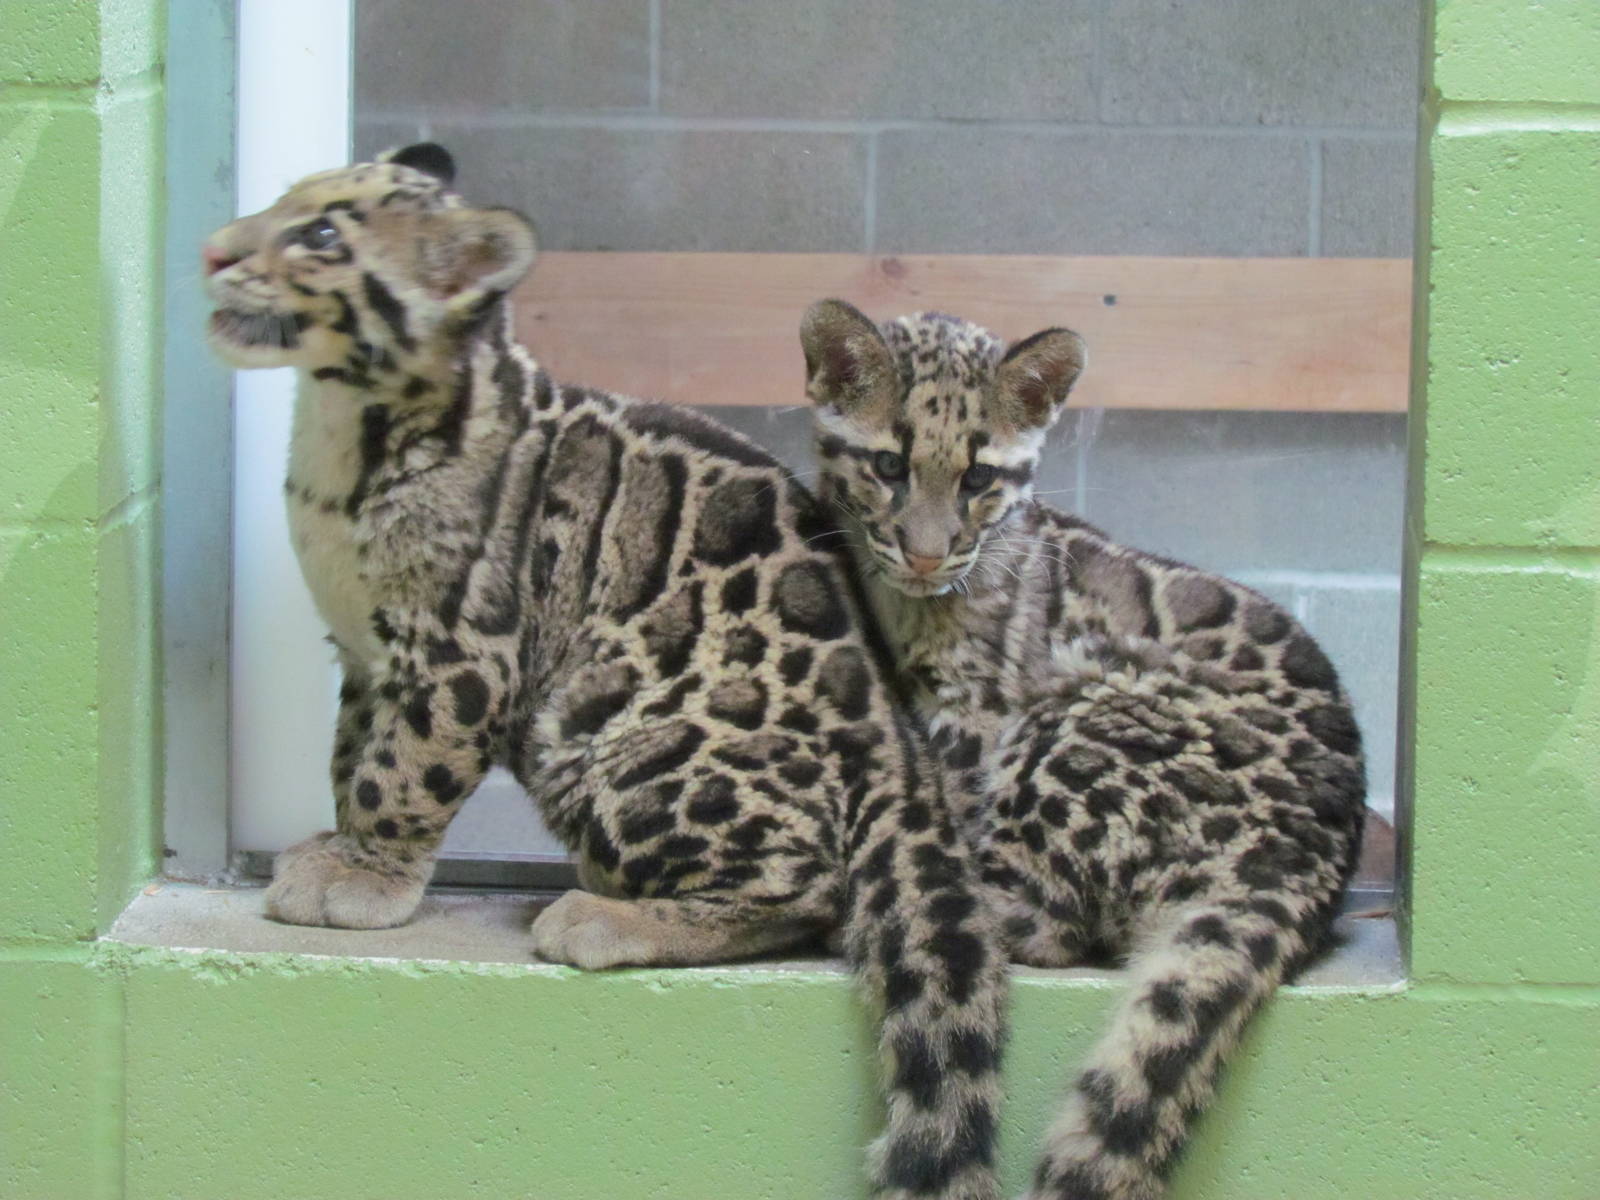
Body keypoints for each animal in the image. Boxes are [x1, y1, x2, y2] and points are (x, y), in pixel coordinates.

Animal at [201, 145, 1010, 1200]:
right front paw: (341, 848)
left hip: (615, 740)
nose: (213, 251)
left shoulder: (460, 653)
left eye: (324, 235)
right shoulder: (370, 659)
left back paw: (606, 917)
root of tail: (902, 751)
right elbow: (350, 761)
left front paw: (365, 874)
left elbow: (400, 773)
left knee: (811, 890)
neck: (341, 429)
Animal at [801, 300, 1367, 1200]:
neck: (908, 602)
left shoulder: (977, 708)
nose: (926, 552)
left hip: (1077, 714)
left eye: (978, 480)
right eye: (888, 465)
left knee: (1052, 923)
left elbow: (952, 816)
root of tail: (1308, 858)